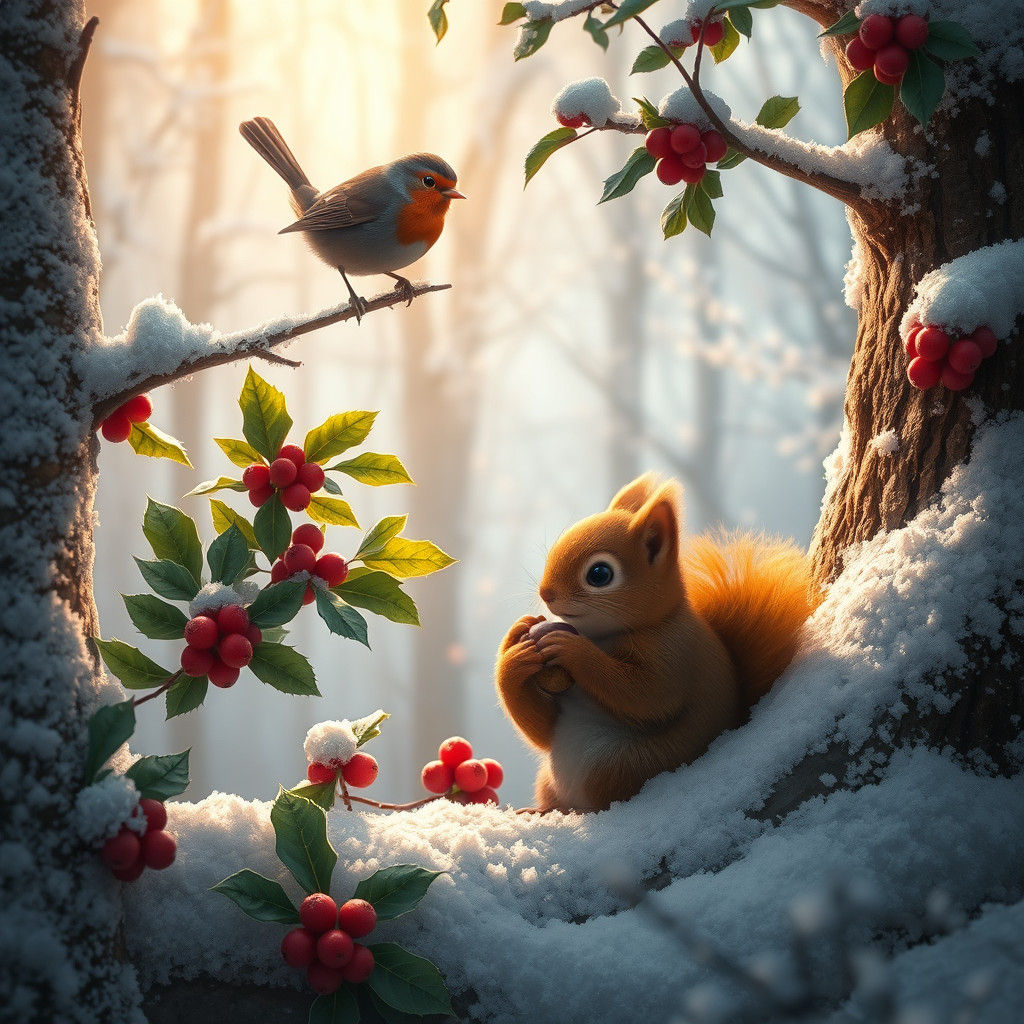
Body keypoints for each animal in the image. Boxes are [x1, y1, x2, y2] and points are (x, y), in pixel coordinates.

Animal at [494, 473, 815, 812]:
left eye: (599, 573)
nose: (546, 593)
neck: (605, 638)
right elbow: (542, 728)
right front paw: (514, 648)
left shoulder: (674, 652)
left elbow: (649, 695)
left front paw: (572, 649)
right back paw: (538, 809)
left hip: (619, 767)